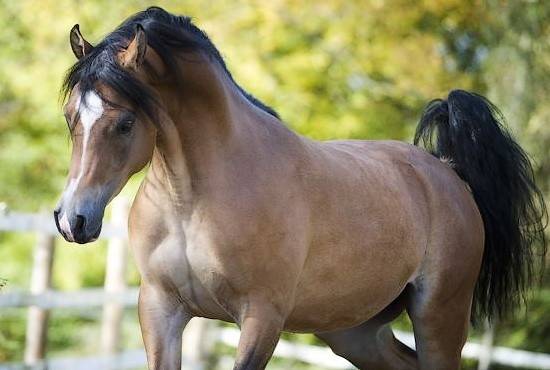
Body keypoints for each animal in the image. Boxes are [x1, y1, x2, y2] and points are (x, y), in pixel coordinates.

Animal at [55, 6, 548, 370]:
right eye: (70, 116)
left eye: (125, 123)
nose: (72, 219)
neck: (192, 199)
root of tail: (447, 173)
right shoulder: (160, 309)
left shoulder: (261, 318)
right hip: (353, 331)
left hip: (439, 317)